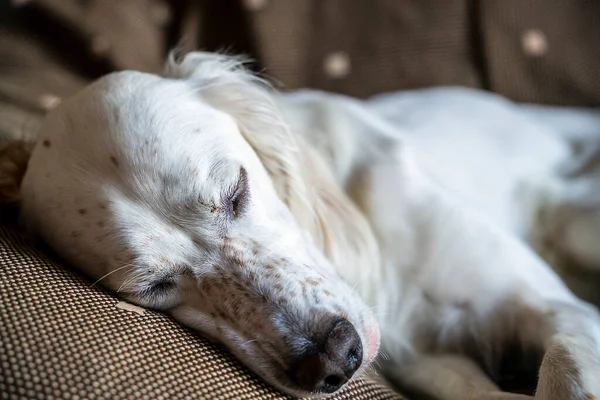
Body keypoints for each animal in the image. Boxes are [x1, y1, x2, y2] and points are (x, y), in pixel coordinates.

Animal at [1, 51, 600, 398]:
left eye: (235, 191)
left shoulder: (559, 307)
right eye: (155, 287)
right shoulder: (431, 365)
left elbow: (563, 366)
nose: (335, 360)